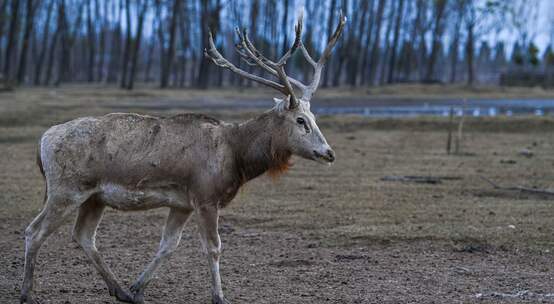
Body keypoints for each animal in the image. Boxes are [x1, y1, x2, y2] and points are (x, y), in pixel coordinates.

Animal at [21, 10, 344, 302]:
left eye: (314, 116)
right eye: (301, 120)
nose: (328, 153)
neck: (235, 156)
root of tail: (43, 141)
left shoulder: (182, 203)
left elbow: (168, 245)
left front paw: (138, 289)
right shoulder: (205, 196)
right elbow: (214, 247)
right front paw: (219, 297)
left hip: (94, 197)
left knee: (83, 235)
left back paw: (121, 291)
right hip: (66, 189)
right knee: (34, 231)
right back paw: (27, 294)